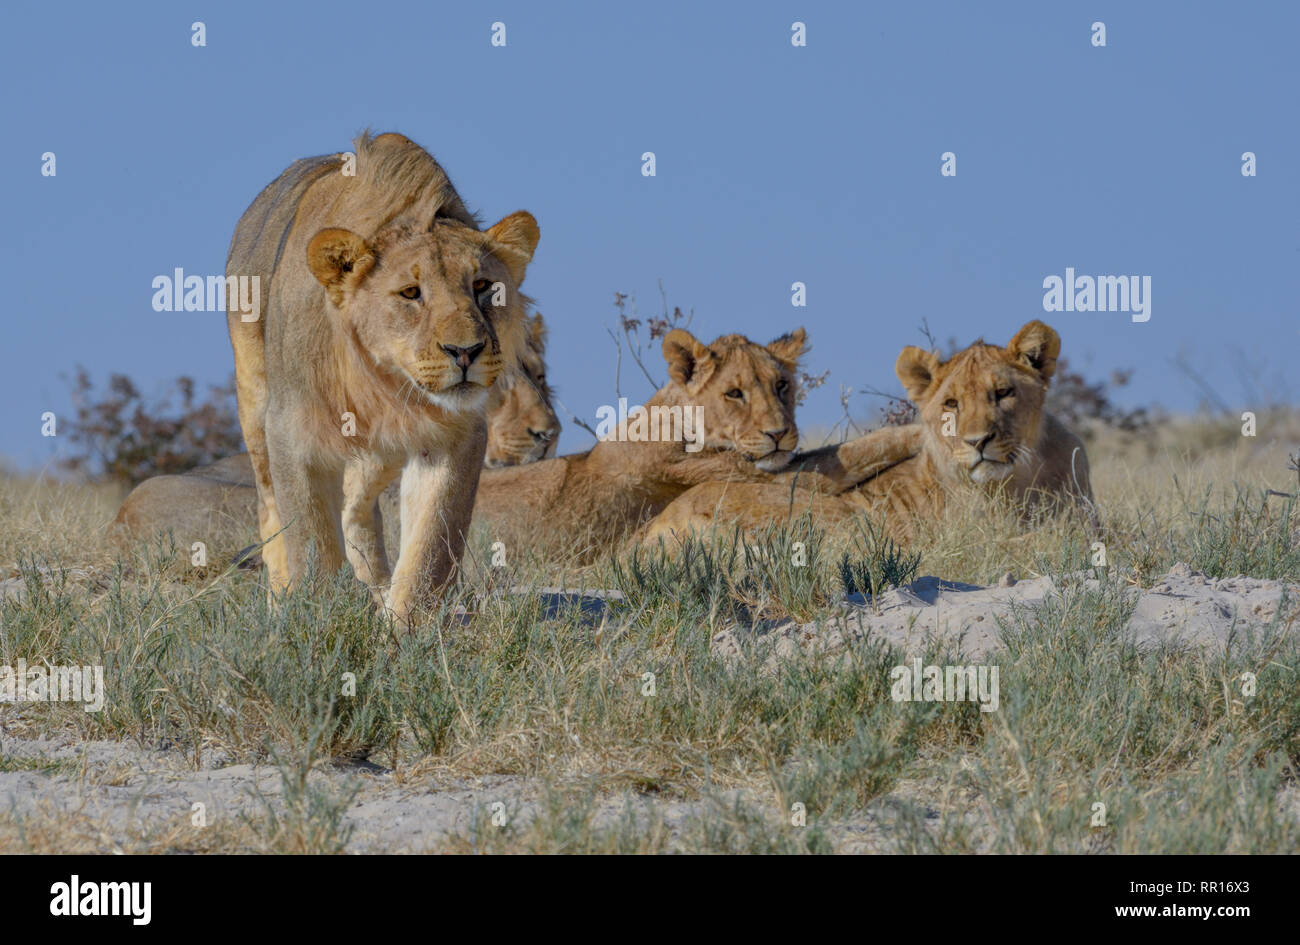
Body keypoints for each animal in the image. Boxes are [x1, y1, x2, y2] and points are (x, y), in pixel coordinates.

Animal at [226, 131, 540, 623]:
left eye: (483, 287)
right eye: (411, 293)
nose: (465, 352)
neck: (383, 382)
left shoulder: (454, 436)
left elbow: (432, 545)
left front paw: (404, 624)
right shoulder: (293, 432)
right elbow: (311, 541)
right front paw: (321, 617)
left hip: (377, 453)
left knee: (357, 509)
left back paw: (374, 589)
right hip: (255, 403)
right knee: (270, 504)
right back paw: (281, 599)